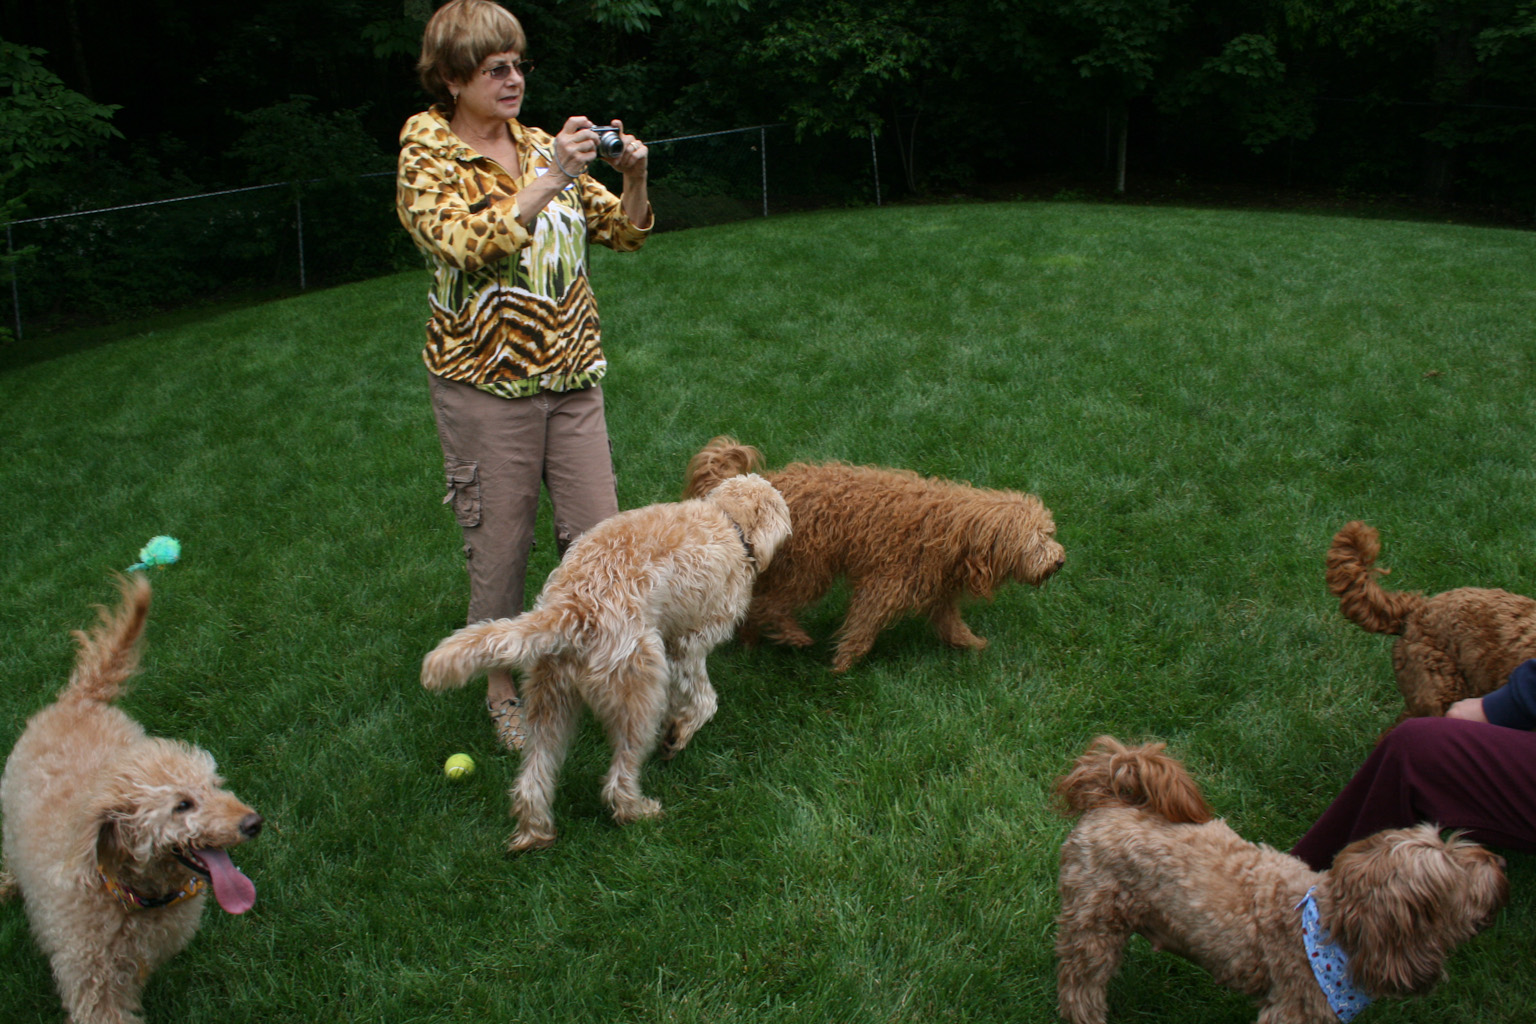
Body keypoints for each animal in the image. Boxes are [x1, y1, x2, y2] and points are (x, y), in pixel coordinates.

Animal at [421, 473, 792, 852]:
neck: (728, 520)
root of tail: (571, 608)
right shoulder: (687, 645)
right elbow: (704, 700)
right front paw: (679, 733)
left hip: (550, 704)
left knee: (533, 779)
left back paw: (534, 834)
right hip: (639, 697)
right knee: (618, 778)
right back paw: (638, 811)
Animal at [682, 437, 1064, 672]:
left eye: (1049, 535)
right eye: (1037, 541)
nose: (1059, 561)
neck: (953, 527)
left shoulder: (936, 588)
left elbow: (950, 624)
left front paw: (973, 645)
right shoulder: (885, 586)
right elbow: (863, 626)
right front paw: (842, 666)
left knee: (758, 605)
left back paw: (751, 643)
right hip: (807, 570)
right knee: (768, 605)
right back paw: (793, 636)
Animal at [1054, 735, 1507, 1024]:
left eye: (1450, 842)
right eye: (1456, 876)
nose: (1496, 861)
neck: (1332, 922)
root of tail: (1109, 800)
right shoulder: (1293, 1010)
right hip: (1092, 928)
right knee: (1079, 989)